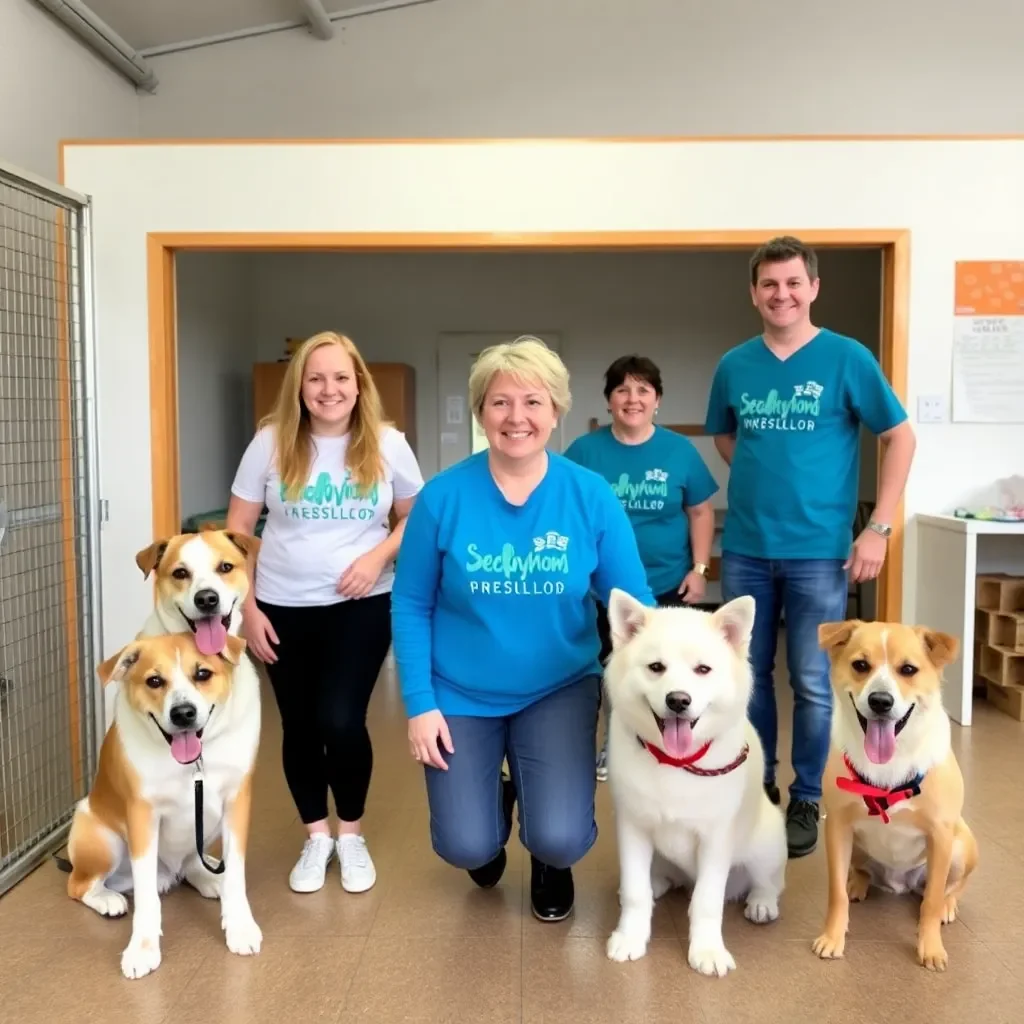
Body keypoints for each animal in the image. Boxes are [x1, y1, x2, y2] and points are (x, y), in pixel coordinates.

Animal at [602, 585, 786, 974]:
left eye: (703, 670)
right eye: (656, 668)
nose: (678, 700)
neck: (676, 763)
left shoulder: (716, 839)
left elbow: (706, 901)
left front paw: (707, 951)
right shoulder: (632, 827)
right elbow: (635, 892)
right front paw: (630, 938)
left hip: (766, 841)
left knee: (770, 881)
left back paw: (761, 903)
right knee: (659, 880)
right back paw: (659, 882)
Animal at [811, 618, 978, 970]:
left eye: (909, 669)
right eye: (860, 665)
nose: (880, 701)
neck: (889, 765)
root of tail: (898, 885)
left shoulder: (940, 835)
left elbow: (930, 903)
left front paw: (931, 948)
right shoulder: (837, 828)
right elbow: (836, 894)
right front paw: (833, 937)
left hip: (961, 846)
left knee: (951, 887)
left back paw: (948, 905)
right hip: (858, 846)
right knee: (860, 872)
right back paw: (858, 883)